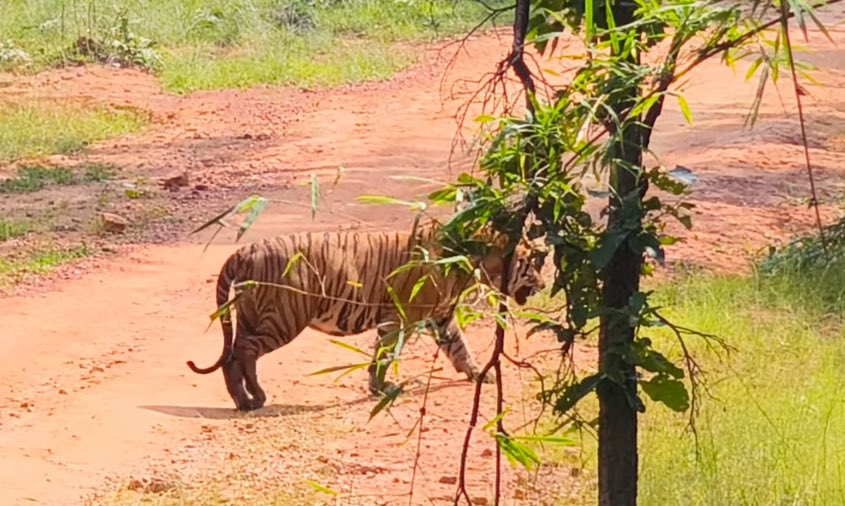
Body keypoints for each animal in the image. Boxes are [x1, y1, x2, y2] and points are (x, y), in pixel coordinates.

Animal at [187, 225, 545, 411]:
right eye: (531, 263)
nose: (543, 286)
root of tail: (243, 250)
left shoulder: (440, 317)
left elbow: (459, 347)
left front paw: (478, 374)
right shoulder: (403, 318)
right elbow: (386, 353)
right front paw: (382, 388)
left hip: (249, 316)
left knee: (231, 356)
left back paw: (243, 401)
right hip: (284, 318)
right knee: (245, 352)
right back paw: (257, 397)